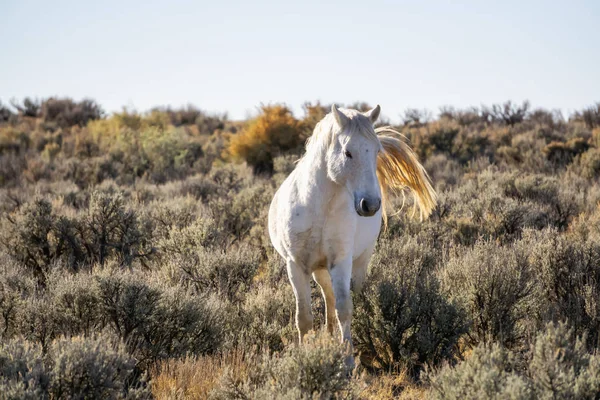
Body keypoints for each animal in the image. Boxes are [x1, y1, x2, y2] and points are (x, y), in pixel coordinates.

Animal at [268, 104, 436, 364]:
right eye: (348, 153)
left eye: (376, 151)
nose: (371, 205)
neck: (318, 207)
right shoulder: (295, 265)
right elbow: (303, 317)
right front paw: (305, 356)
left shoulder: (341, 261)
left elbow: (344, 309)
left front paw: (347, 361)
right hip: (319, 269)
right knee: (328, 297)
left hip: (358, 262)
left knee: (344, 297)